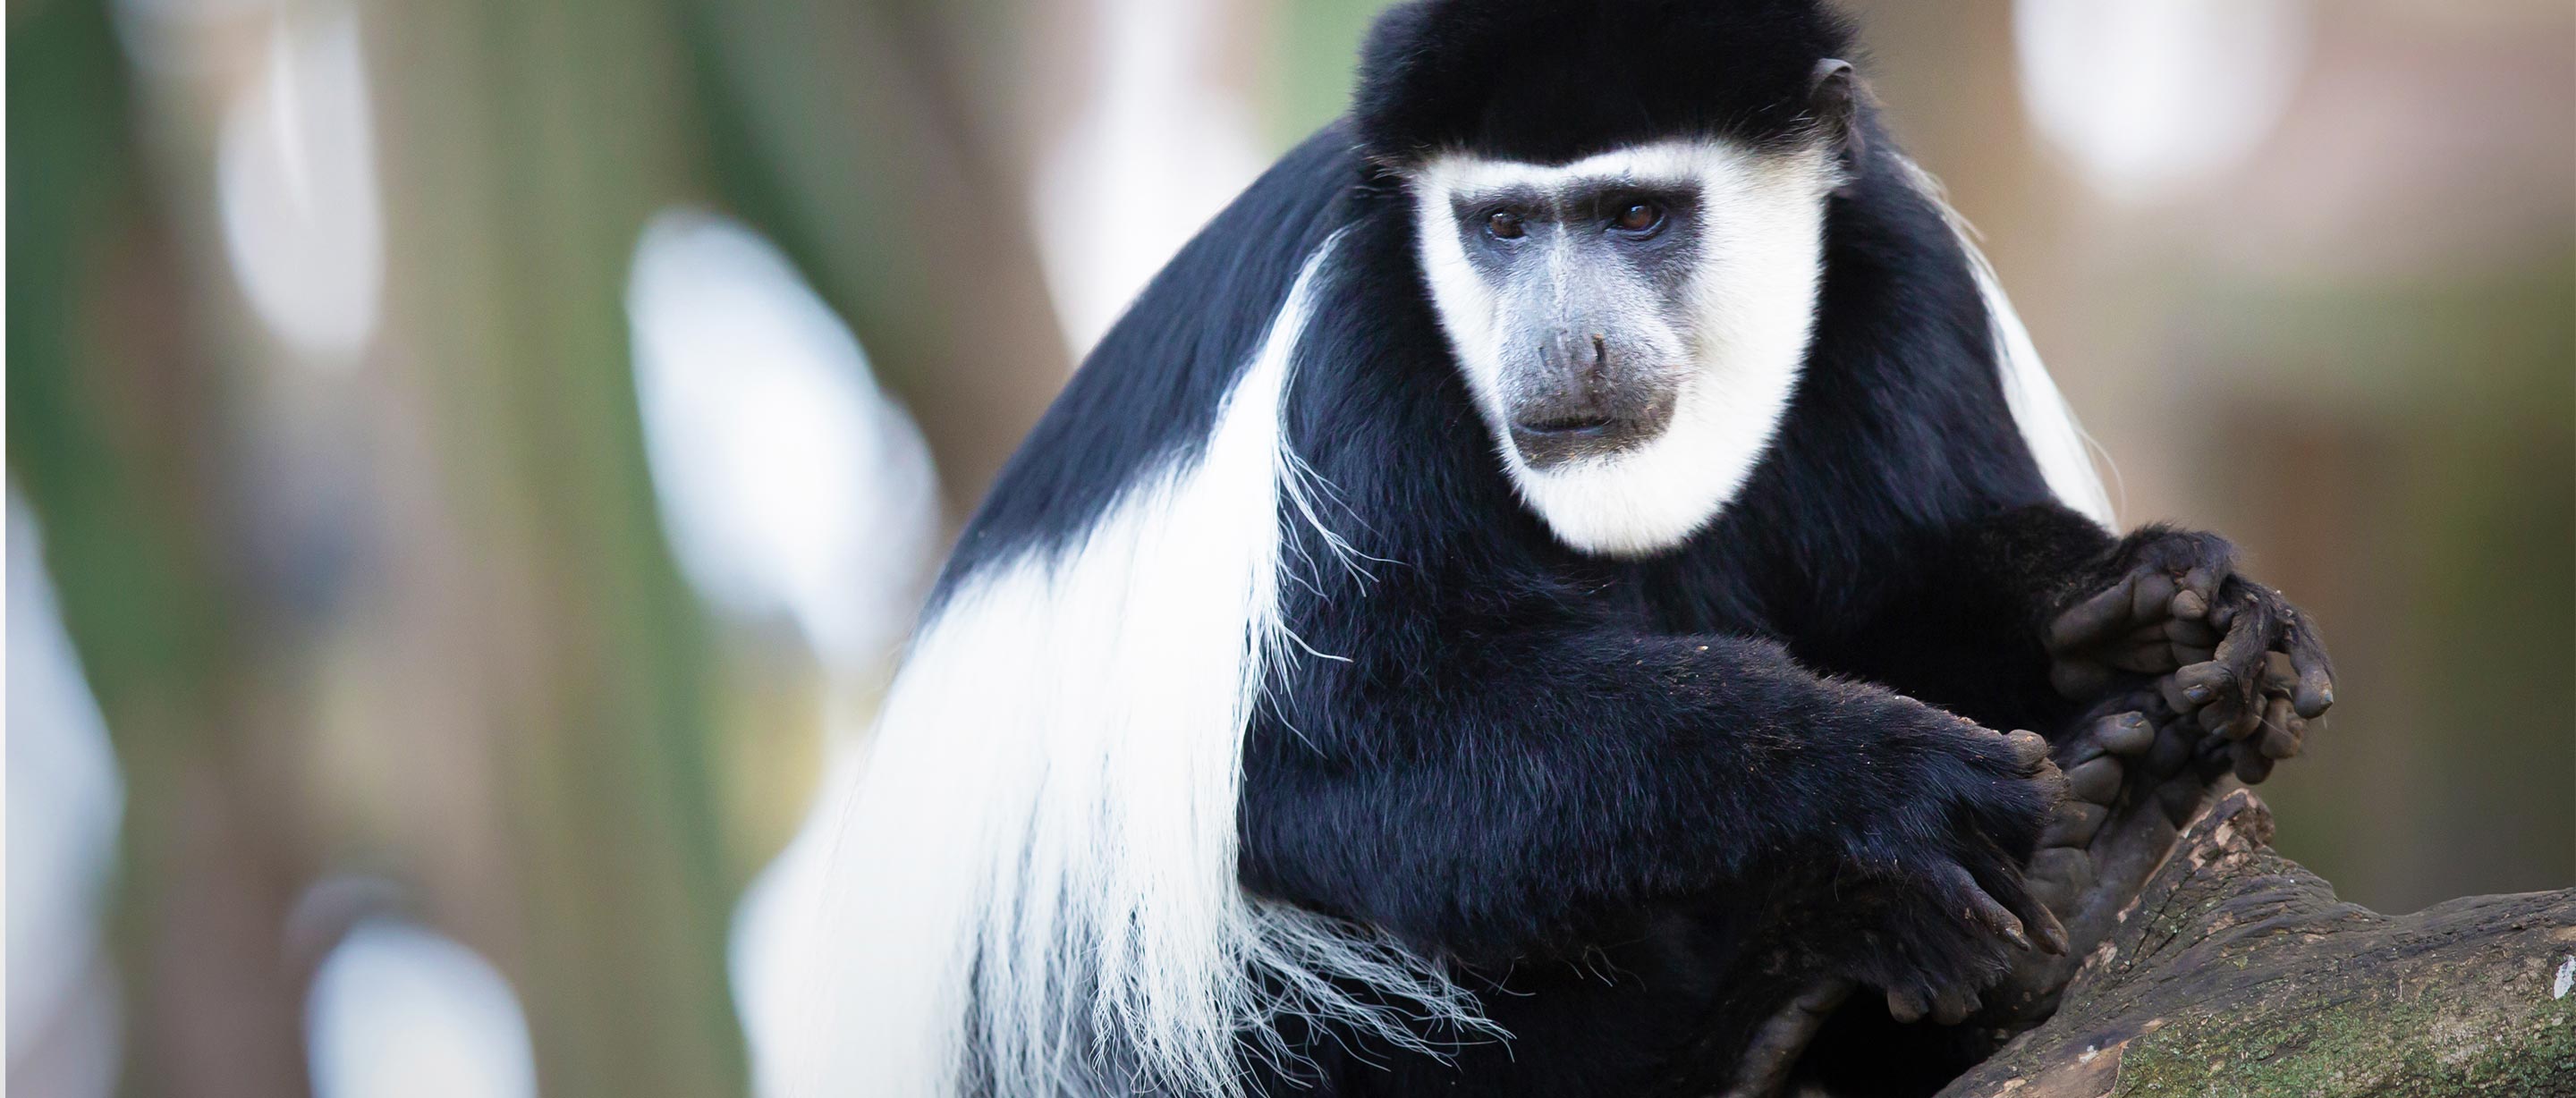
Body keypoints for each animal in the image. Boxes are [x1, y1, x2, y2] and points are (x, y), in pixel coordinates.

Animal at [809, 2, 2339, 1098]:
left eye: (1636, 214)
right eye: (1500, 225)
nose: (1563, 346)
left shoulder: (1895, 263)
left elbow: (1917, 574)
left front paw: (2148, 604)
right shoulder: (1353, 356)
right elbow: (1335, 751)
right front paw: (1879, 777)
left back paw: (2107, 843)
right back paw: (1779, 998)